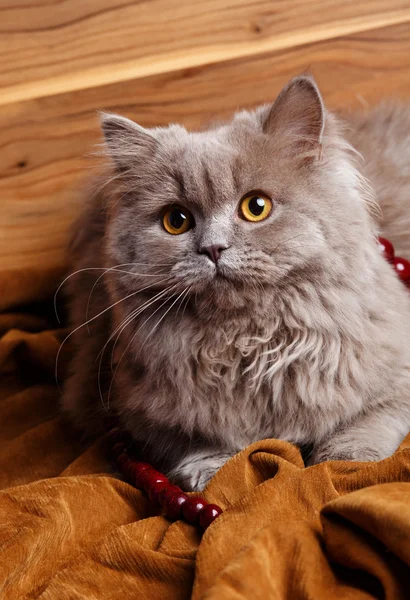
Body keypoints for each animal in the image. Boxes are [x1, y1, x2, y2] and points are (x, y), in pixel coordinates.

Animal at [60, 75, 410, 490]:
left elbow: (369, 420)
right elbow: (200, 442)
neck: (249, 344)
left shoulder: (397, 367)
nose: (213, 248)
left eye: (256, 207)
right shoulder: (137, 412)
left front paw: (344, 460)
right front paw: (211, 471)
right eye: (176, 220)